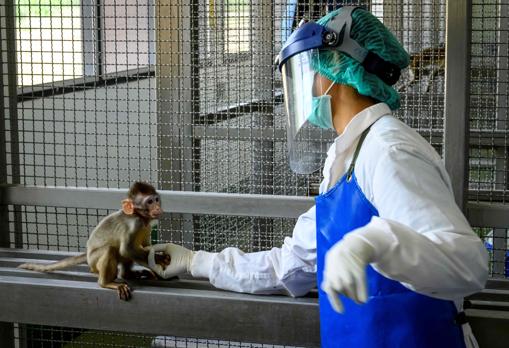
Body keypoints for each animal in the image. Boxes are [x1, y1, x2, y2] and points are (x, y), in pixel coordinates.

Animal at [17, 181, 170, 300]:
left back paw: (128, 274)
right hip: (94, 261)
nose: (157, 207)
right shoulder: (135, 224)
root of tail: (88, 256)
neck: (139, 216)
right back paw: (105, 283)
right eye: (149, 202)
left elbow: (144, 246)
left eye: (156, 199)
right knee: (110, 250)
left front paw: (157, 263)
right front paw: (160, 259)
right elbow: (127, 249)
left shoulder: (147, 225)